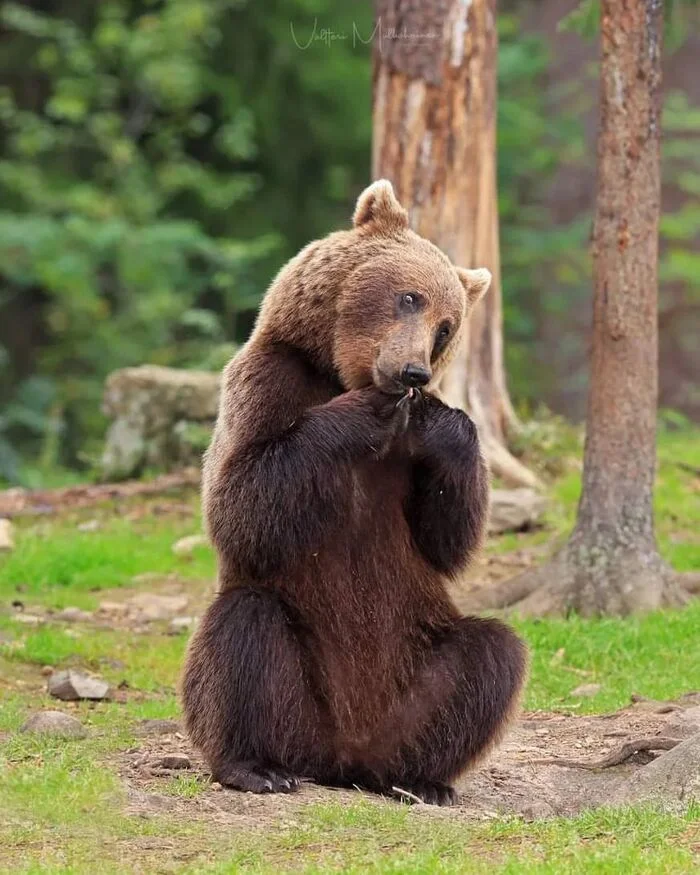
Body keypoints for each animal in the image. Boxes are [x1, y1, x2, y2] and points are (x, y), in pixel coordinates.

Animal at [180, 178, 524, 808]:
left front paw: (440, 419)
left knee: (489, 656)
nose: (413, 372)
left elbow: (448, 538)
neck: (339, 371)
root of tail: (343, 755)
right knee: (247, 630)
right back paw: (256, 766)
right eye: (409, 297)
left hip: (415, 662)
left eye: (447, 327)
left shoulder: (414, 465)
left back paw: (419, 779)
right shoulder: (269, 382)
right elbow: (240, 502)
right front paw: (365, 414)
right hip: (300, 684)